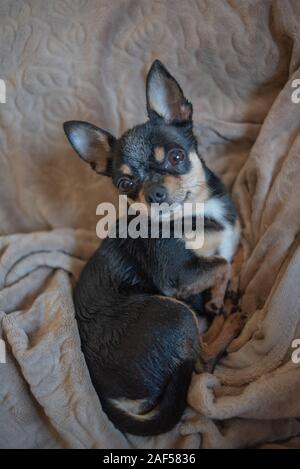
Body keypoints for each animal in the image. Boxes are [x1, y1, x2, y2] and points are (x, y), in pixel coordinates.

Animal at [63, 59, 244, 436]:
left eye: (176, 157)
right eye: (125, 183)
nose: (154, 193)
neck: (197, 212)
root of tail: (106, 396)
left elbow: (229, 258)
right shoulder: (176, 278)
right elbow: (221, 264)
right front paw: (218, 298)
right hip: (173, 312)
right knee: (201, 363)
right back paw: (229, 322)